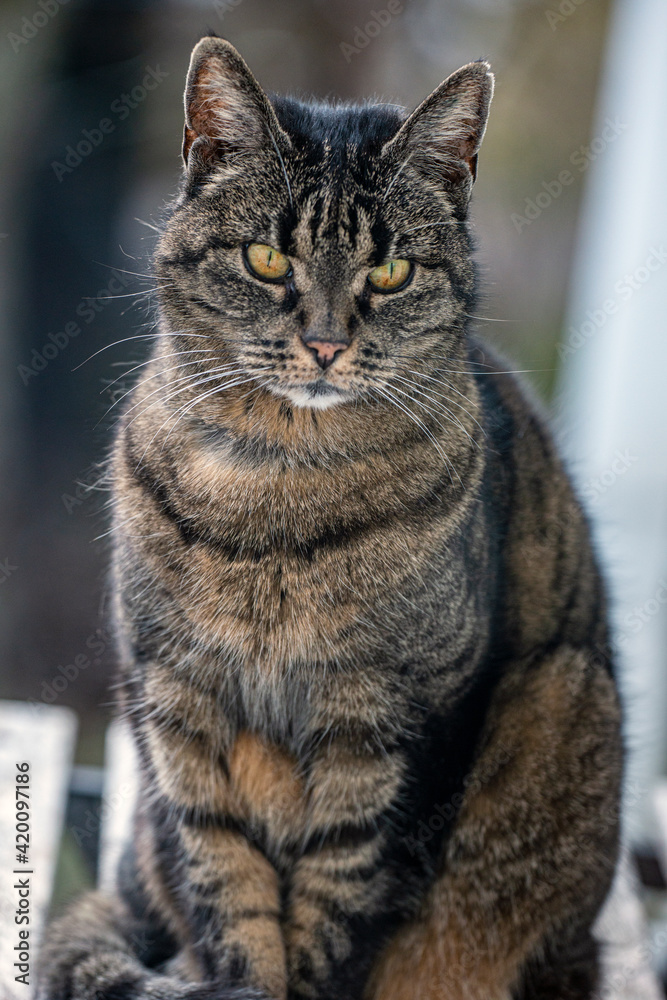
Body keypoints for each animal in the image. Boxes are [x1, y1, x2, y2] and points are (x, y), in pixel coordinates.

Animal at [37, 35, 628, 1000]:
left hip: (565, 708)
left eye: (389, 271)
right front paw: (241, 975)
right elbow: (228, 893)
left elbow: (338, 904)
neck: (278, 492)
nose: (322, 342)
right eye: (267, 260)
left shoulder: (392, 725)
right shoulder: (178, 709)